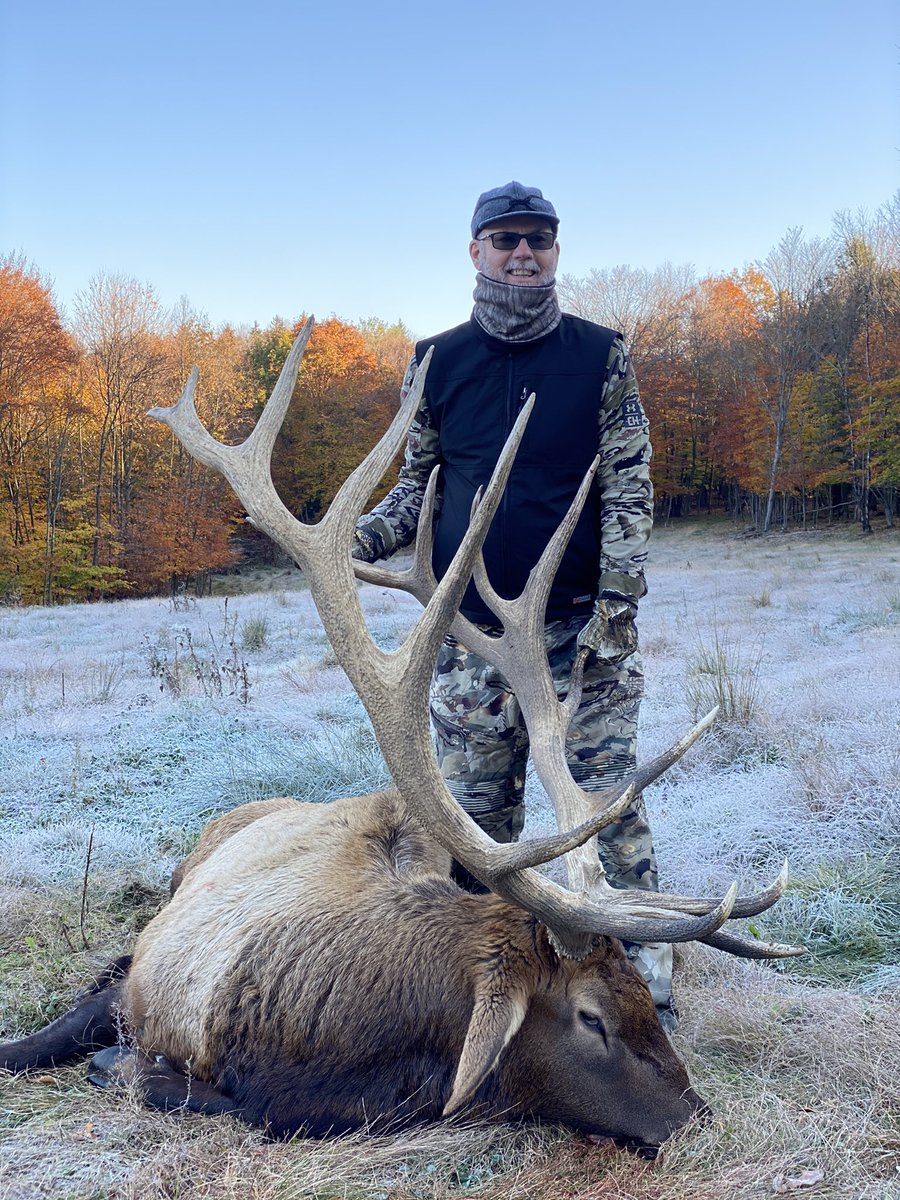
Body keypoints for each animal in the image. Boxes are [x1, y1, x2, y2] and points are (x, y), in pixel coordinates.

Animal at [0, 319, 803, 1148]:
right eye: (591, 1017)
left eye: (644, 997)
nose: (699, 1115)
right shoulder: (151, 979)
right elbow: (105, 1044)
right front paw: (101, 1061)